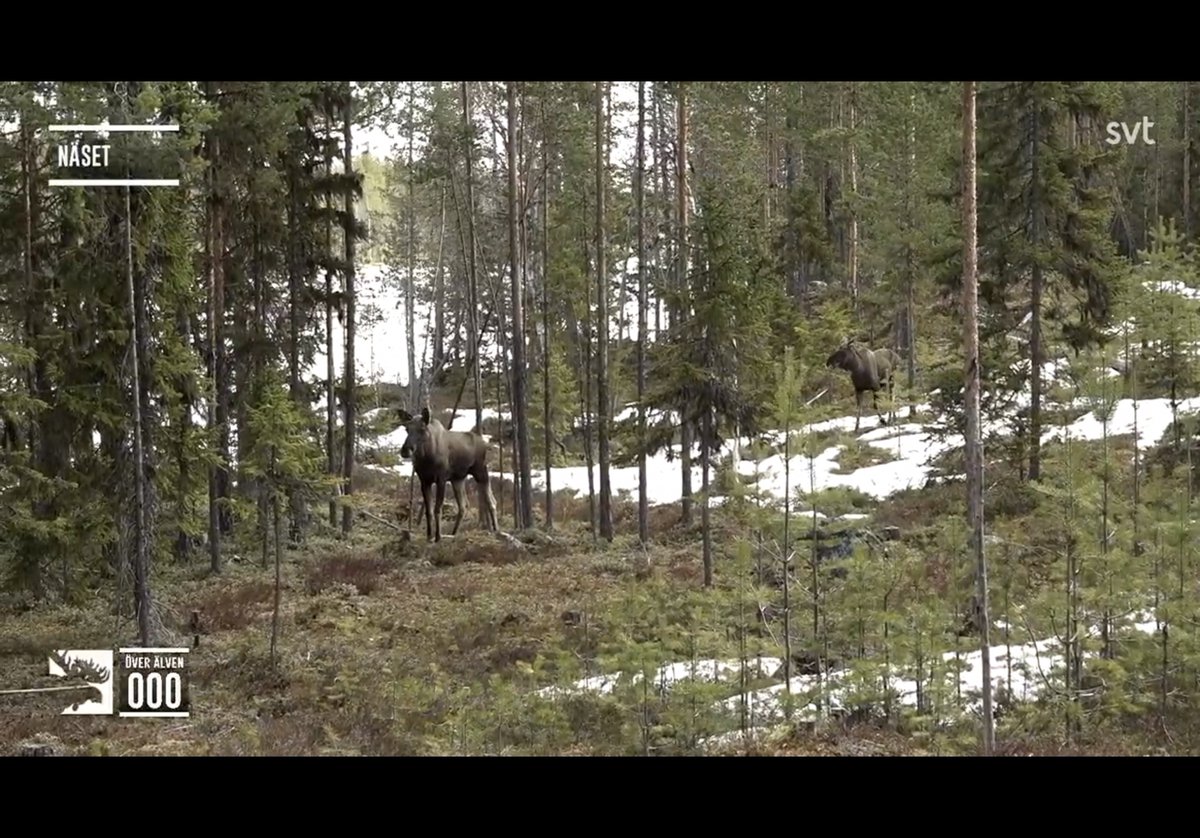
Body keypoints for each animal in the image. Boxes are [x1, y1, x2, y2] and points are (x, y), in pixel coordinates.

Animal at [396, 405, 499, 542]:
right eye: (407, 429)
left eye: (422, 429)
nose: (405, 450)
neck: (427, 458)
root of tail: (484, 442)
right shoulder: (425, 481)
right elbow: (428, 511)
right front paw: (429, 536)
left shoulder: (441, 479)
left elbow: (437, 509)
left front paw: (438, 537)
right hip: (458, 479)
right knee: (463, 506)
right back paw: (453, 533)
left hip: (480, 471)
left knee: (491, 501)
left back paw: (496, 530)